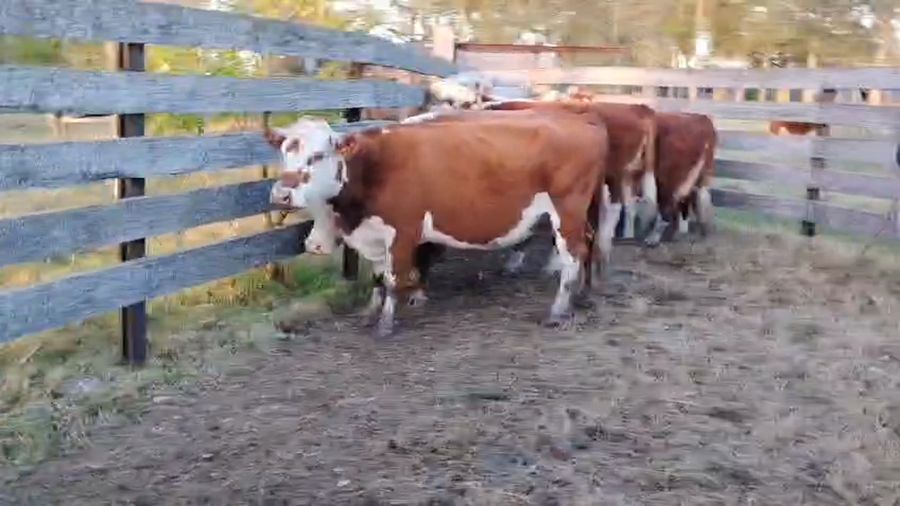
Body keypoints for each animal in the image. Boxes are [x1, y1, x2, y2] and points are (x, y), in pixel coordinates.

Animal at [265, 113, 610, 337]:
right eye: (284, 153)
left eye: (317, 155)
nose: (281, 194)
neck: (375, 167)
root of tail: (583, 123)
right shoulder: (374, 235)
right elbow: (376, 278)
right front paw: (368, 312)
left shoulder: (404, 231)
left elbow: (393, 278)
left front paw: (386, 324)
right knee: (589, 243)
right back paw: (584, 293)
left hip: (567, 211)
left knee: (573, 255)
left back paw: (558, 309)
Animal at [642, 112, 717, 246]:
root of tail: (702, 118)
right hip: (698, 173)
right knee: (695, 195)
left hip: (667, 176)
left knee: (668, 202)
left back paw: (653, 238)